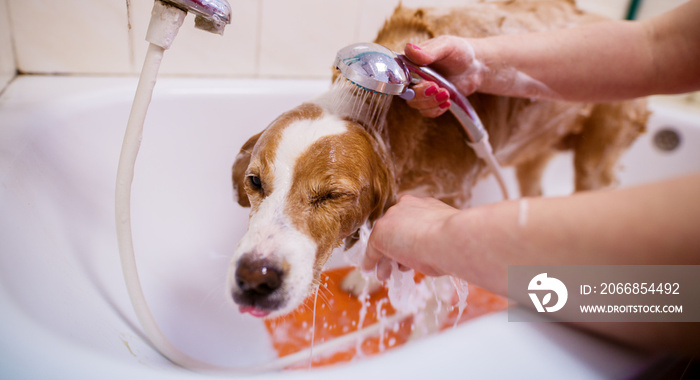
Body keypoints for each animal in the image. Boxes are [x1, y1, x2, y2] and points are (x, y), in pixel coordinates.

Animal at [224, 0, 644, 318]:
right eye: (255, 182)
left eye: (332, 196)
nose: (255, 279)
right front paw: (368, 277)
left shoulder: (454, 199)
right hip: (535, 159)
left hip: (595, 164)